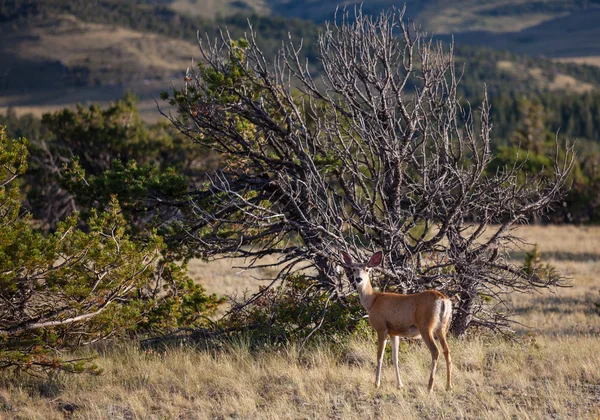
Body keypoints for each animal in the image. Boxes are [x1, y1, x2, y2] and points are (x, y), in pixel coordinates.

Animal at [340, 251, 452, 392]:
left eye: (367, 269)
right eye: (354, 269)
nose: (358, 279)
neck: (372, 300)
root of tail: (443, 300)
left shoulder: (381, 327)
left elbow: (380, 355)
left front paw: (376, 383)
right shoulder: (394, 332)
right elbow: (395, 358)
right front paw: (400, 385)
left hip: (426, 326)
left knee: (435, 351)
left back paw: (430, 386)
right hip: (442, 327)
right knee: (447, 350)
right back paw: (448, 386)